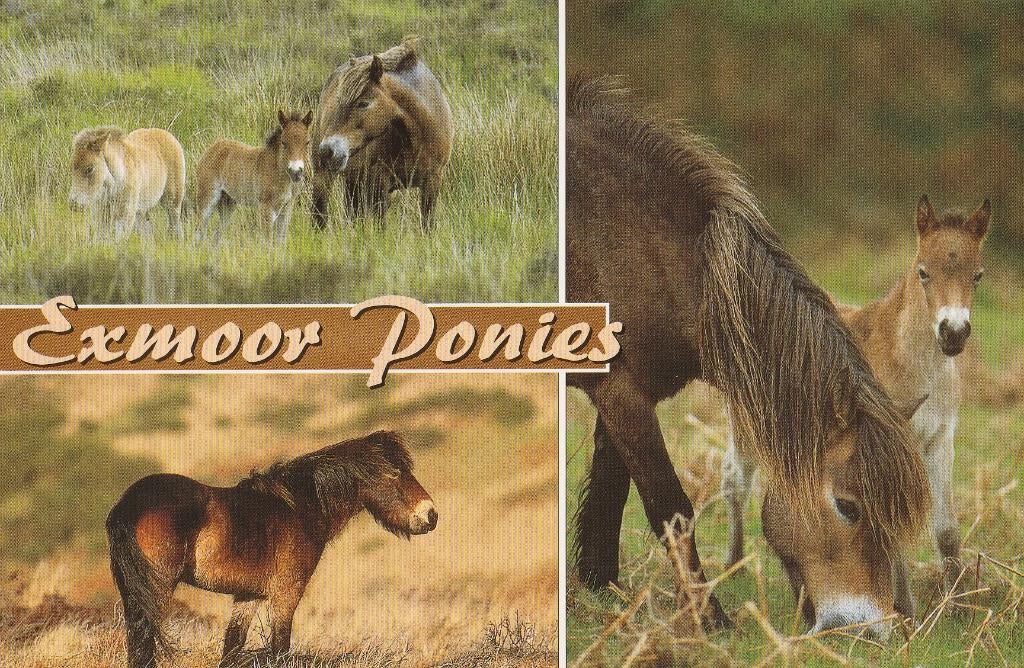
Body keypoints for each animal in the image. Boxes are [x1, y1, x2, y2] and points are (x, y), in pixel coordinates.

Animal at [106, 431, 437, 668]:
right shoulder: (286, 595)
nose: (431, 515)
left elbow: (232, 648)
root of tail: (128, 505)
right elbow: (280, 648)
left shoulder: (248, 596)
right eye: (396, 474)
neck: (300, 507)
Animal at [196, 110, 312, 242]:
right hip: (207, 199)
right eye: (283, 142)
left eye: (307, 142)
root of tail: (211, 149)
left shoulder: (286, 209)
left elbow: (280, 241)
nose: (295, 171)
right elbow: (267, 241)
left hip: (228, 203)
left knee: (216, 235)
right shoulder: (266, 207)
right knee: (199, 232)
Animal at [310, 37, 453, 229]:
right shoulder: (379, 183)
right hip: (326, 178)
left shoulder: (432, 182)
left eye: (363, 103)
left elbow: (427, 224)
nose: (327, 150)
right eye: (338, 102)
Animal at [567, 77, 929, 638]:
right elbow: (670, 506)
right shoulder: (620, 391)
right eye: (848, 507)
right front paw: (708, 617)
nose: (875, 629)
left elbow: (610, 490)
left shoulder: (626, 387)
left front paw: (599, 585)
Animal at [723, 196, 991, 611]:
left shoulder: (940, 439)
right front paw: (905, 610)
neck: (915, 363)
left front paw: (960, 605)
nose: (954, 333)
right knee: (735, 481)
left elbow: (946, 530)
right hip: (748, 425)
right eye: (923, 272)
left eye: (977, 275)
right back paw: (732, 568)